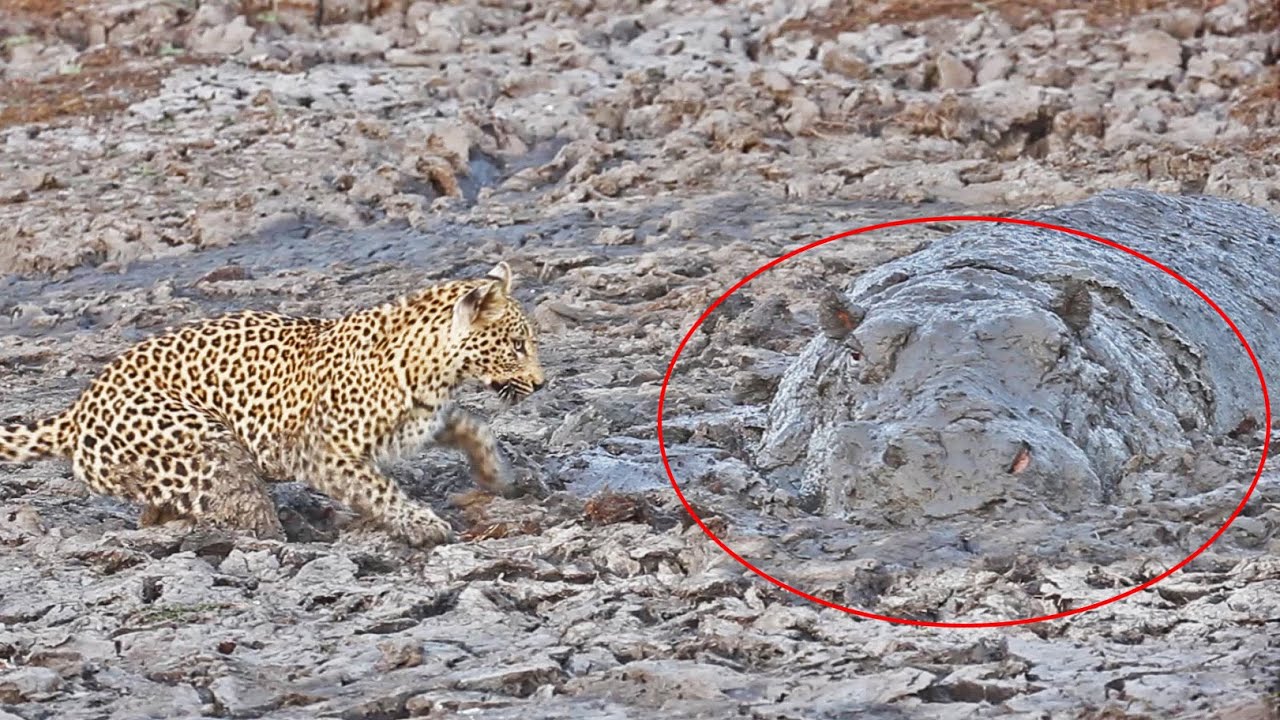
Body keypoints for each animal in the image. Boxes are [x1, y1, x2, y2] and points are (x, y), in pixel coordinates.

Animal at [0, 261, 545, 548]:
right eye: (517, 345)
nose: (541, 385)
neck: (433, 371)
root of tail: (75, 413)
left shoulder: (426, 419)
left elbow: (475, 427)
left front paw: (501, 478)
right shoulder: (324, 451)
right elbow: (380, 488)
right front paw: (423, 524)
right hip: (203, 439)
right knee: (236, 499)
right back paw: (275, 535)